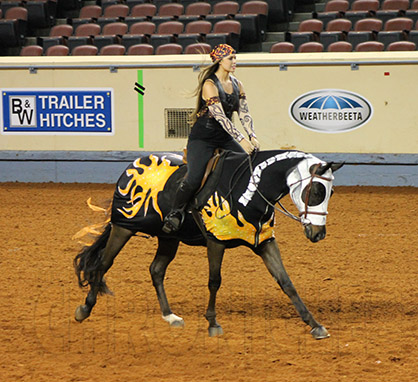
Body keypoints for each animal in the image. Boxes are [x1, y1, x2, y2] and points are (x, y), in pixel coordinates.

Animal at [74, 150, 342, 340]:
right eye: (317, 191)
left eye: (330, 192)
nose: (318, 233)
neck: (248, 190)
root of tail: (132, 166)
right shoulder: (216, 242)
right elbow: (215, 281)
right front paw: (213, 323)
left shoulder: (264, 243)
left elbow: (286, 282)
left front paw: (315, 325)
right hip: (123, 228)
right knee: (103, 264)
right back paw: (85, 309)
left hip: (168, 238)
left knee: (156, 270)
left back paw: (170, 316)